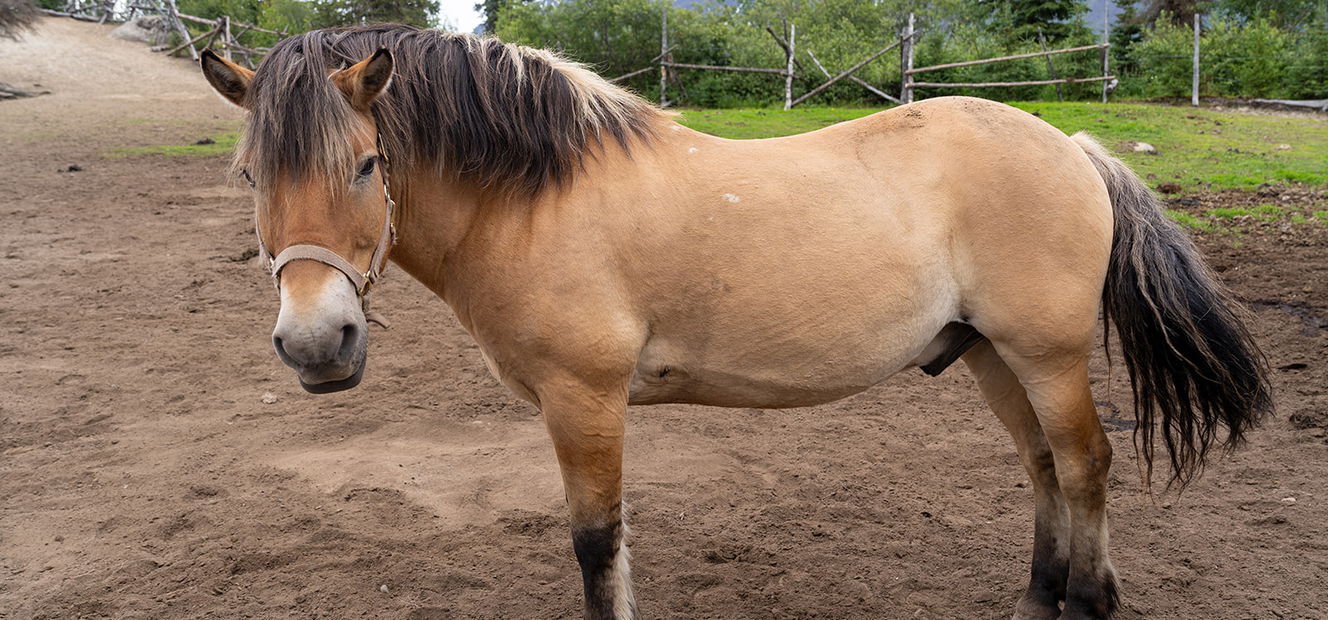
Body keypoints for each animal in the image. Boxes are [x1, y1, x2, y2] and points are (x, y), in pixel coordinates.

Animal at [198, 24, 1271, 620]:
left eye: (367, 165)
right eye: (251, 177)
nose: (316, 344)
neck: (536, 195)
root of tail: (1074, 145)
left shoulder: (584, 401)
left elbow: (597, 543)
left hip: (1043, 354)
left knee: (1085, 466)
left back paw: (1086, 601)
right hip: (990, 359)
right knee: (1045, 467)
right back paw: (1037, 600)